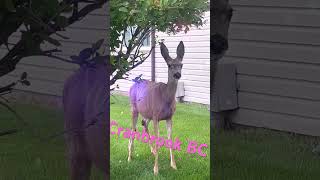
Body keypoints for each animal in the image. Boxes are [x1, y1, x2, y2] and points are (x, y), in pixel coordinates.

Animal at [126, 40, 184, 174]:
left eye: (181, 64)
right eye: (169, 65)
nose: (177, 74)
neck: (166, 98)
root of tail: (134, 83)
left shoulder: (169, 117)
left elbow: (170, 138)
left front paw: (174, 165)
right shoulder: (156, 116)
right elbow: (158, 139)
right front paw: (156, 170)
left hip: (147, 113)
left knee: (143, 124)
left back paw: (151, 151)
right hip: (134, 108)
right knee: (132, 128)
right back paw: (129, 156)